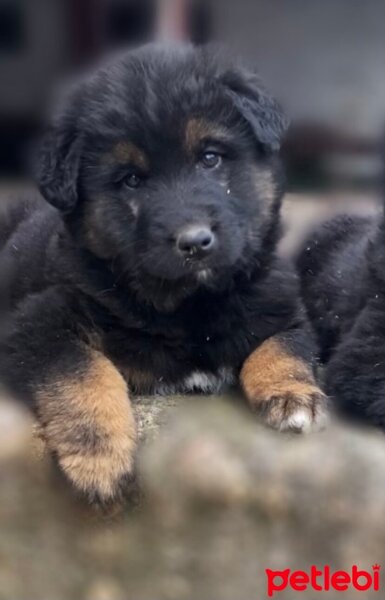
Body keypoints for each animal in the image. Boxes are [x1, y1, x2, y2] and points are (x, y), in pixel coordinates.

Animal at [0, 44, 328, 504]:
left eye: (210, 158)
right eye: (131, 180)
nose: (194, 242)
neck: (190, 304)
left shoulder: (279, 302)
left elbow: (284, 344)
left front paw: (293, 394)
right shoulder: (37, 322)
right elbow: (80, 370)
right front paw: (100, 455)